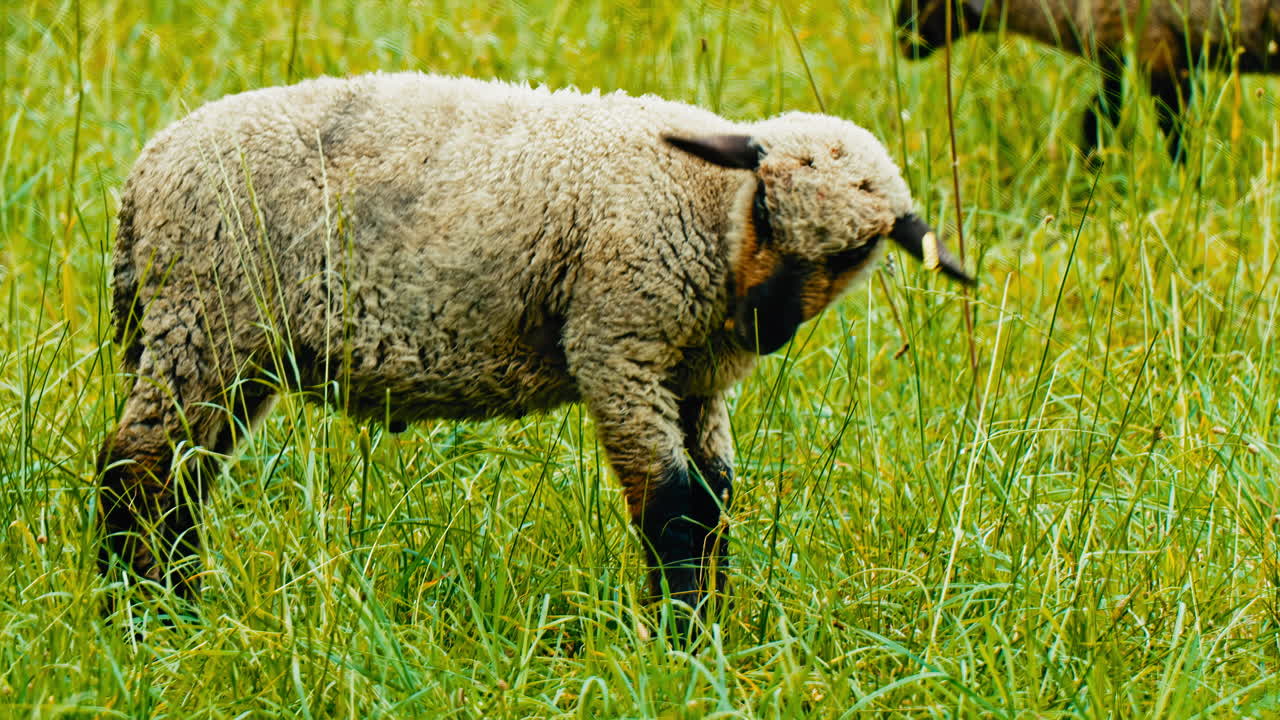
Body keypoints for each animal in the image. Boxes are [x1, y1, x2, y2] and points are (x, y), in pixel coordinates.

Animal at [98, 72, 974, 619]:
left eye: (855, 253)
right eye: (765, 202)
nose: (770, 325)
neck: (707, 207)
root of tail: (145, 173)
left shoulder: (695, 379)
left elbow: (716, 502)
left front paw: (714, 627)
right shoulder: (619, 345)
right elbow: (675, 509)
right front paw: (683, 640)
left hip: (232, 348)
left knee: (181, 483)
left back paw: (174, 602)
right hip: (204, 314)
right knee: (135, 470)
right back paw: (142, 620)